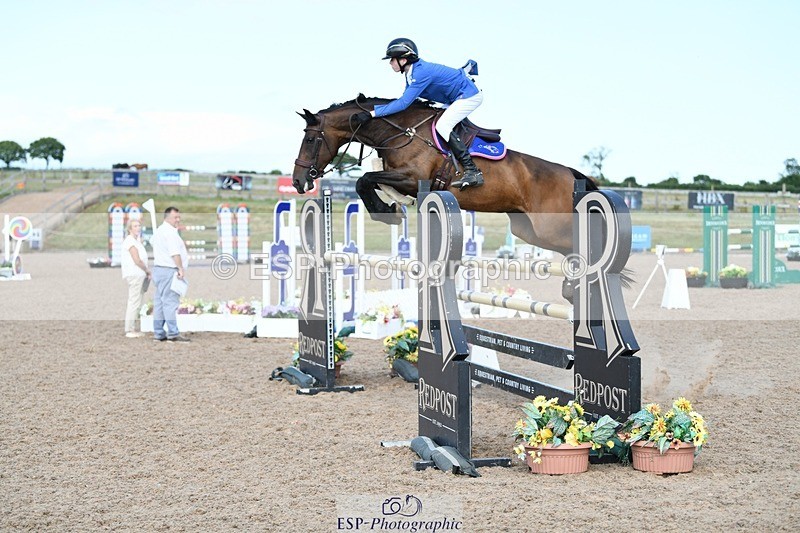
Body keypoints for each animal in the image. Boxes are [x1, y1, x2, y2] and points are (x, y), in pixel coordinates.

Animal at [291, 95, 595, 258]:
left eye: (309, 139)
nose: (298, 181)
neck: (401, 131)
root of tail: (570, 174)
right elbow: (369, 180)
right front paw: (390, 207)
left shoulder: (412, 179)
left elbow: (363, 178)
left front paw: (386, 211)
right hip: (529, 230)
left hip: (550, 227)